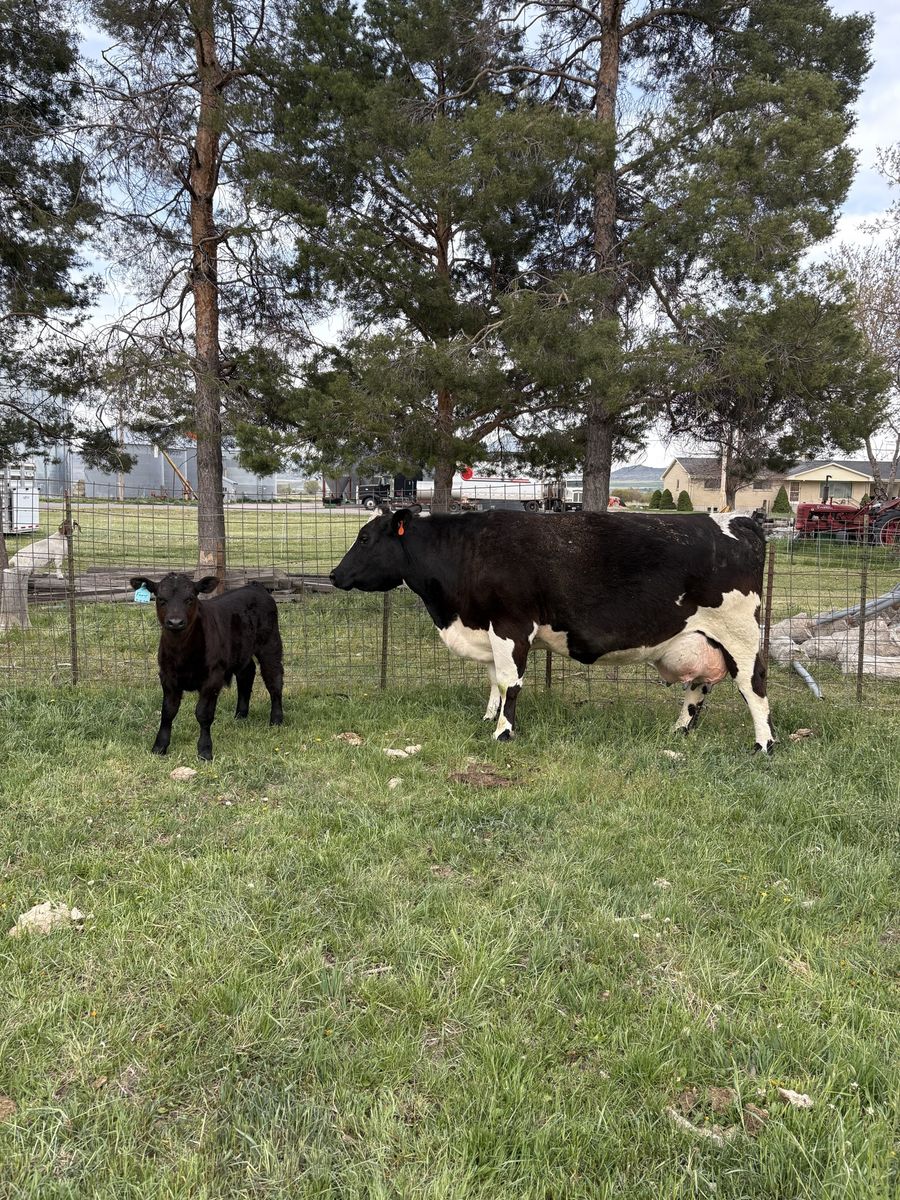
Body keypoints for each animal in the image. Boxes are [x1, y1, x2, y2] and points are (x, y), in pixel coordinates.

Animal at [129, 573, 284, 761]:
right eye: (161, 599)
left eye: (190, 598)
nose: (175, 622)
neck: (181, 652)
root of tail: (255, 586)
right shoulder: (167, 676)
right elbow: (168, 712)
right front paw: (159, 747)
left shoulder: (213, 678)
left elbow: (203, 713)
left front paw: (204, 750)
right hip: (241, 651)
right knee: (247, 674)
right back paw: (240, 715)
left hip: (270, 644)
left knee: (274, 679)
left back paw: (276, 720)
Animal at [330, 507, 774, 752]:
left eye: (365, 537)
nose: (334, 575)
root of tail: (739, 521)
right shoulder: (488, 629)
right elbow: (493, 679)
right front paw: (488, 718)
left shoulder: (511, 625)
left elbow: (509, 682)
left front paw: (503, 732)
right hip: (699, 639)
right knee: (698, 688)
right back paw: (678, 731)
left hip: (739, 634)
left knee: (754, 685)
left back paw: (763, 745)